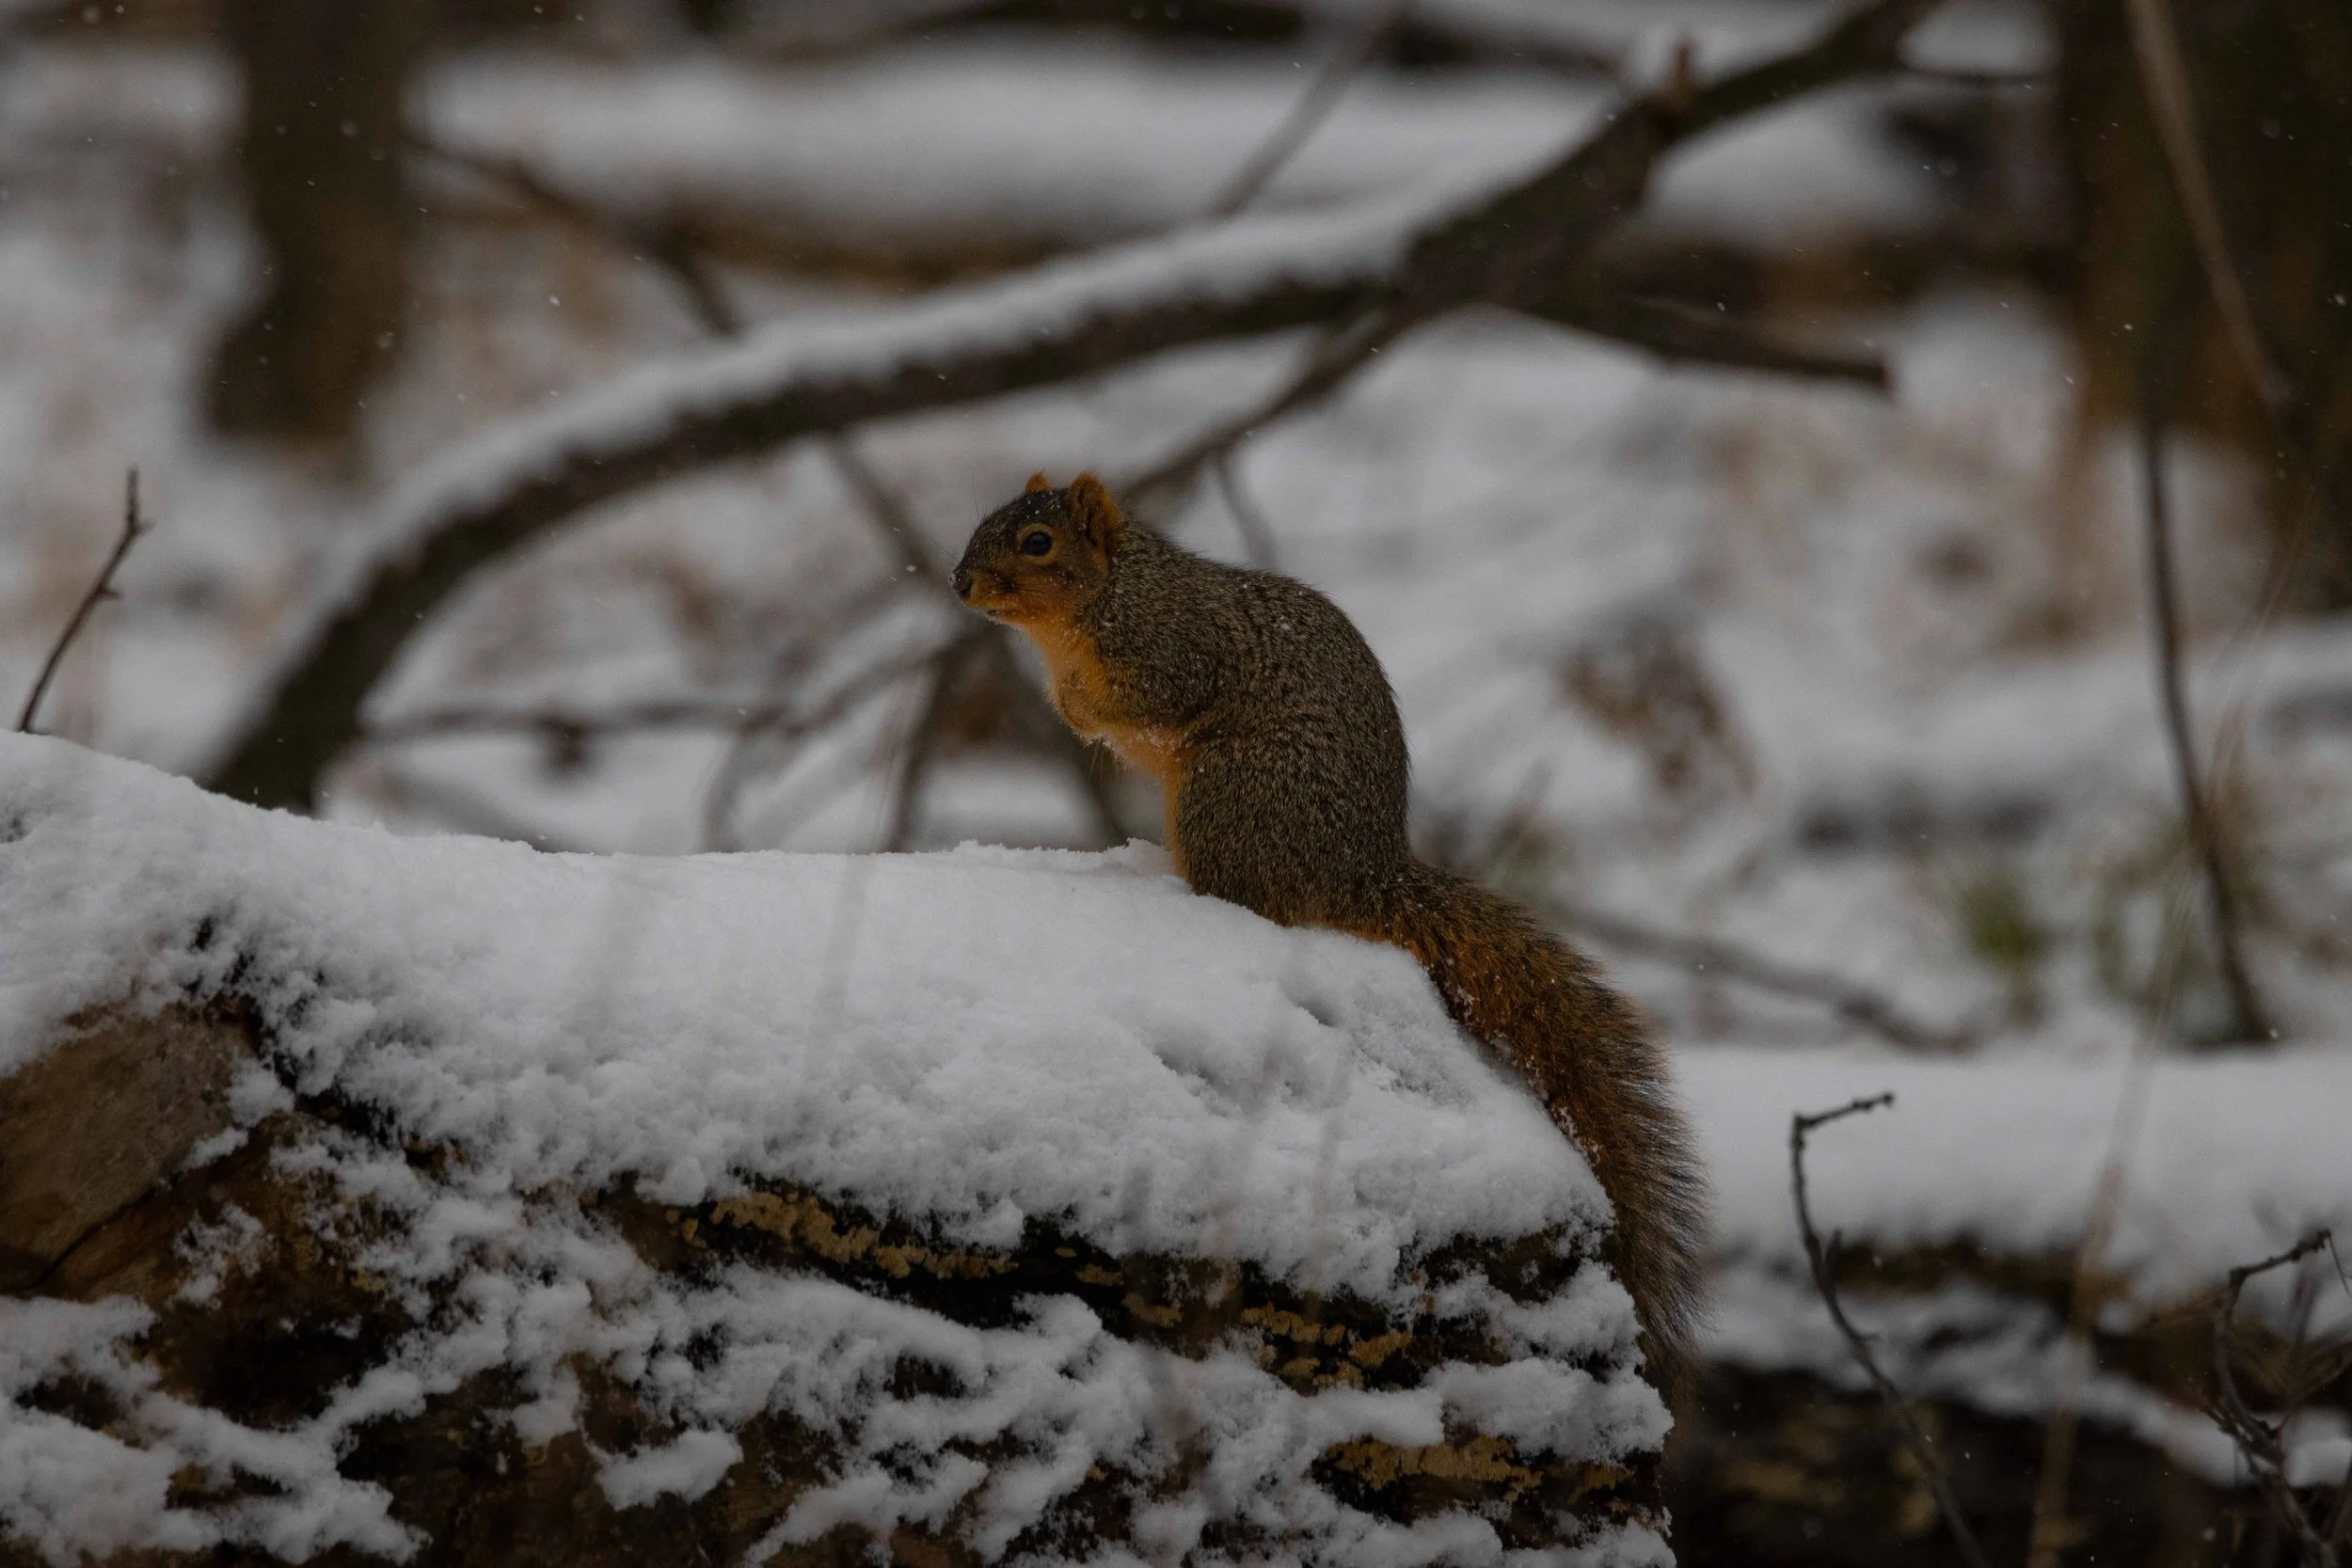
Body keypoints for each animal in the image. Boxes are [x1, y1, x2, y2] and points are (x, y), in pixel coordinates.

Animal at [950, 471, 1709, 1383]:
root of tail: (1363, 877)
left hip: (1226, 795)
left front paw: (1078, 708)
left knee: (1249, 895)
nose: (960, 582)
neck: (1101, 597)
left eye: (1037, 544)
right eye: (988, 520)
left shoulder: (1171, 648)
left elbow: (1149, 699)